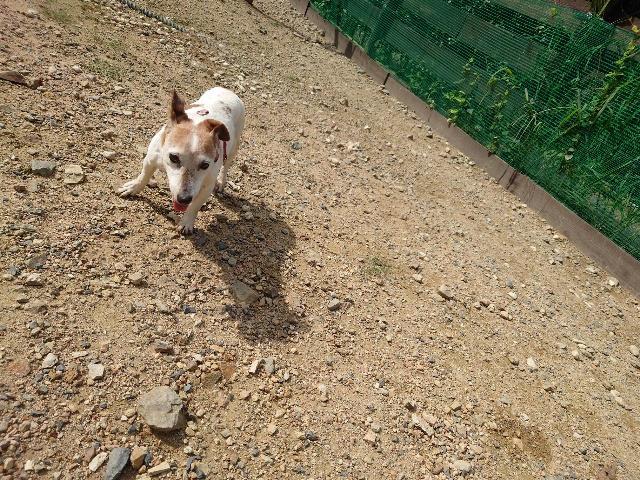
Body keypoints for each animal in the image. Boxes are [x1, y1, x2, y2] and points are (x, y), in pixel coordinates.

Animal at [118, 87, 245, 234]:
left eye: (205, 165)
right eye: (173, 157)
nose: (184, 199)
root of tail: (227, 91)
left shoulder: (207, 186)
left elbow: (195, 205)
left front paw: (186, 222)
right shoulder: (151, 159)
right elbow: (143, 177)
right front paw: (133, 188)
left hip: (234, 146)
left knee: (226, 164)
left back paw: (221, 181)